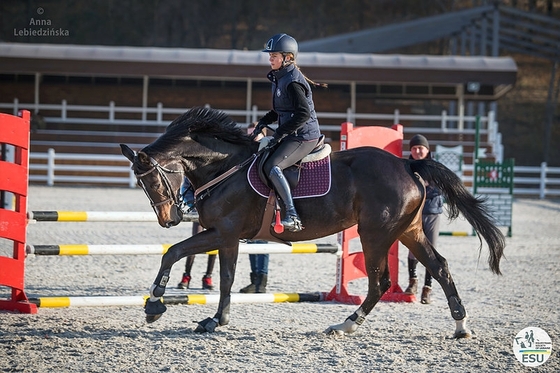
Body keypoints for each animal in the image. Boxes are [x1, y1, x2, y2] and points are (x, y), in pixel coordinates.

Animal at [120, 105, 506, 338]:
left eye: (154, 181)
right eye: (141, 184)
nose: (169, 219)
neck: (224, 167)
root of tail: (407, 162)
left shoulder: (226, 234)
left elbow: (219, 274)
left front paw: (208, 318)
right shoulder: (221, 234)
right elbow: (178, 254)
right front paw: (158, 306)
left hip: (375, 234)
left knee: (380, 282)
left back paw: (346, 324)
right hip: (408, 231)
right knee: (439, 267)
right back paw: (460, 326)